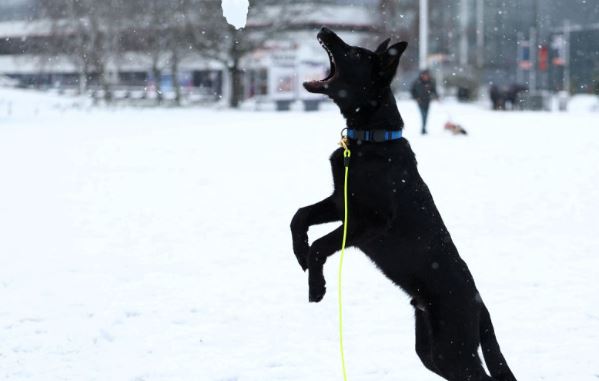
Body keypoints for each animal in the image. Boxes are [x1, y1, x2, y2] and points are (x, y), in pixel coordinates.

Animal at [290, 28, 516, 380]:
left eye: (354, 53)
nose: (325, 31)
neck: (370, 139)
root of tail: (480, 304)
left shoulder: (370, 221)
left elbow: (320, 245)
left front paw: (317, 287)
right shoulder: (341, 204)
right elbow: (299, 217)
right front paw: (299, 254)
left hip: (453, 347)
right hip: (432, 351)